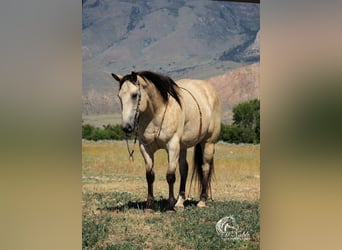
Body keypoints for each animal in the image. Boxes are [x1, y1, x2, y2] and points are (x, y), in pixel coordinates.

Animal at [111, 70, 220, 209]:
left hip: (208, 142)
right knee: (184, 169)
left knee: (205, 167)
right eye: (119, 96)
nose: (126, 127)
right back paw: (180, 201)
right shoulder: (145, 147)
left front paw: (170, 204)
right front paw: (149, 203)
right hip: (182, 147)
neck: (156, 113)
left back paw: (202, 200)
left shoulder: (172, 146)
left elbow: (170, 175)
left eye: (134, 95)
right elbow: (150, 175)